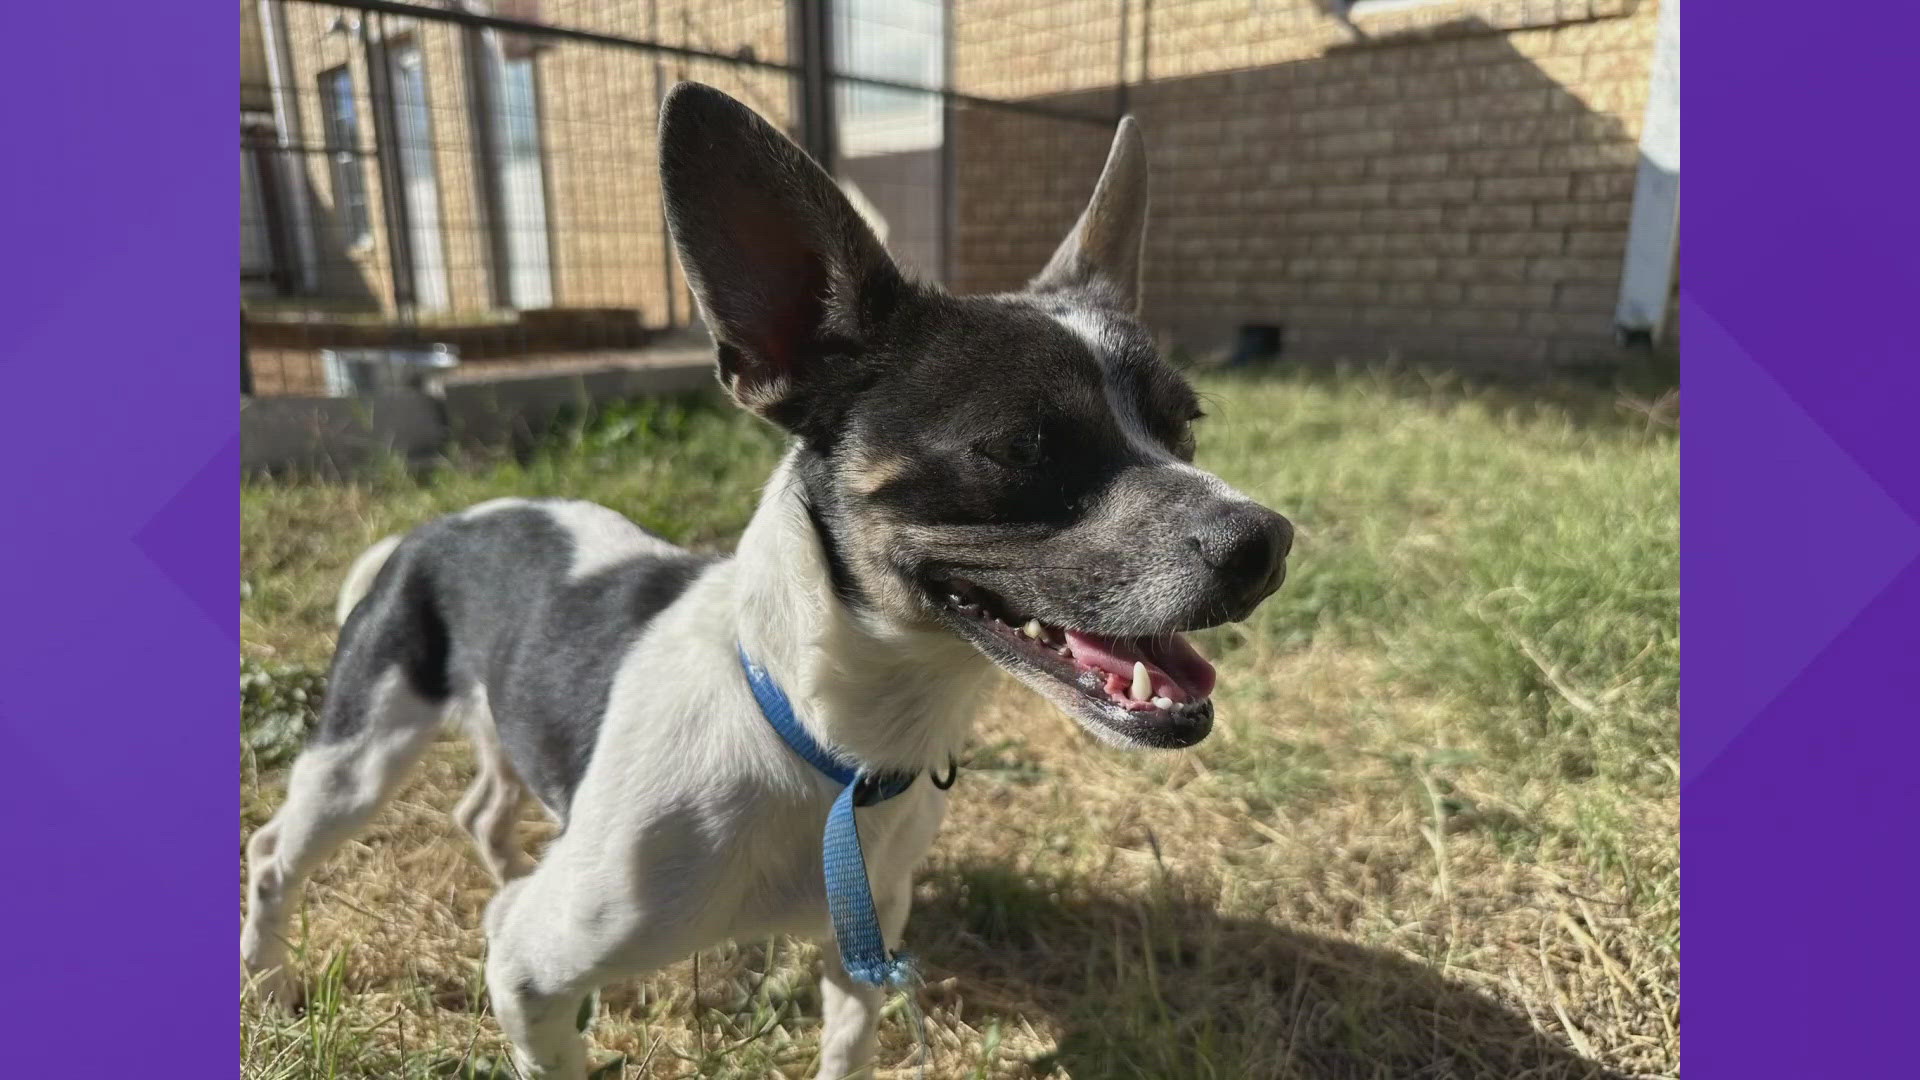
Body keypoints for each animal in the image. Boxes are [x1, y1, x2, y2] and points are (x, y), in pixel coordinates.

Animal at [240, 85, 1290, 1076]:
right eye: (1021, 446)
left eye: (1186, 427)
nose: (1267, 540)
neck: (823, 743)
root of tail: (431, 528)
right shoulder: (531, 973)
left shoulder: (863, 942)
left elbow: (847, 1048)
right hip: (359, 757)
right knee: (273, 854)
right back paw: (272, 980)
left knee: (483, 811)